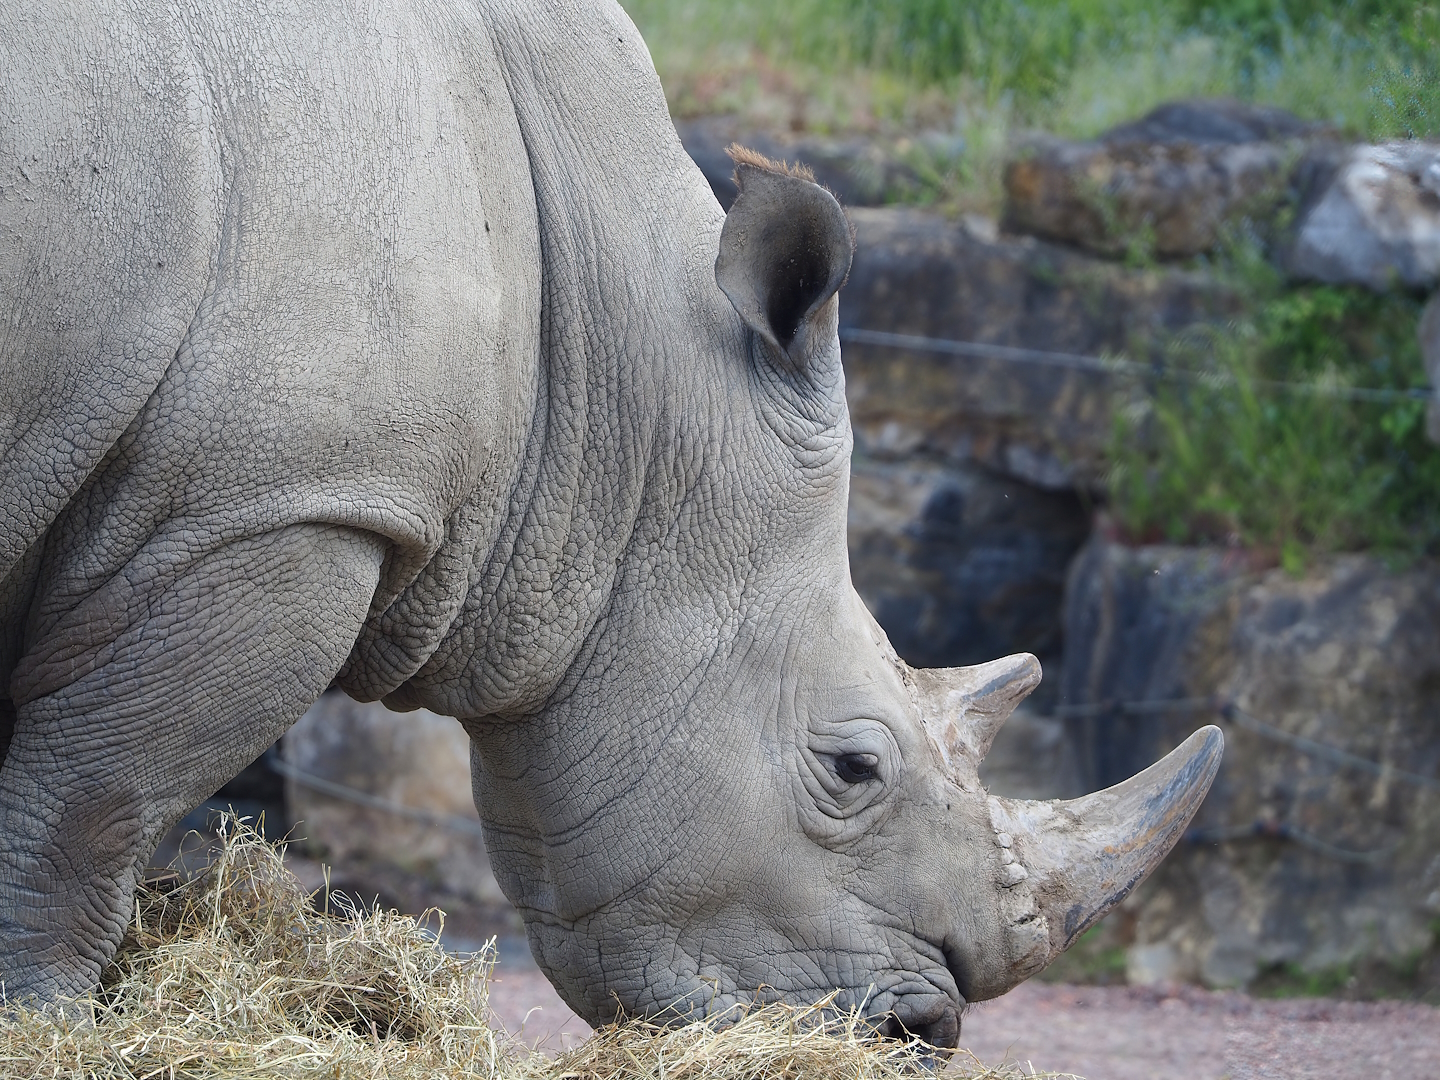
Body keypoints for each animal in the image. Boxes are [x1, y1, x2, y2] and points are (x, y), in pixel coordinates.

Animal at [0, 0, 1221, 1042]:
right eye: (852, 769)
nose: (922, 1036)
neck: (609, 384)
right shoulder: (275, 506)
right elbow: (96, 799)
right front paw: (46, 1023)